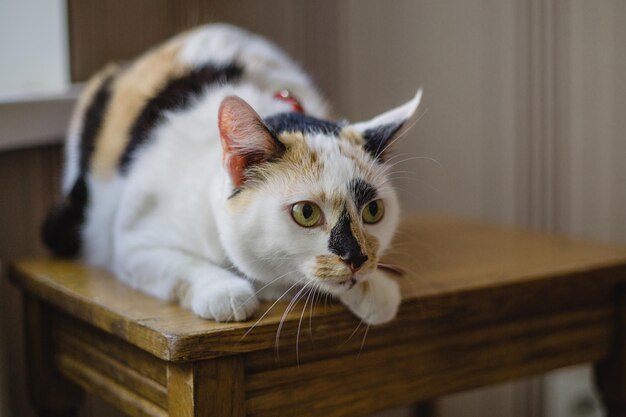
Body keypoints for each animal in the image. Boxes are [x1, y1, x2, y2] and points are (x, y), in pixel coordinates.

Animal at [41, 22, 422, 324]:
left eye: (374, 211)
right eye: (306, 213)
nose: (357, 258)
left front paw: (375, 290)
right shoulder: (132, 243)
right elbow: (181, 266)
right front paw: (225, 291)